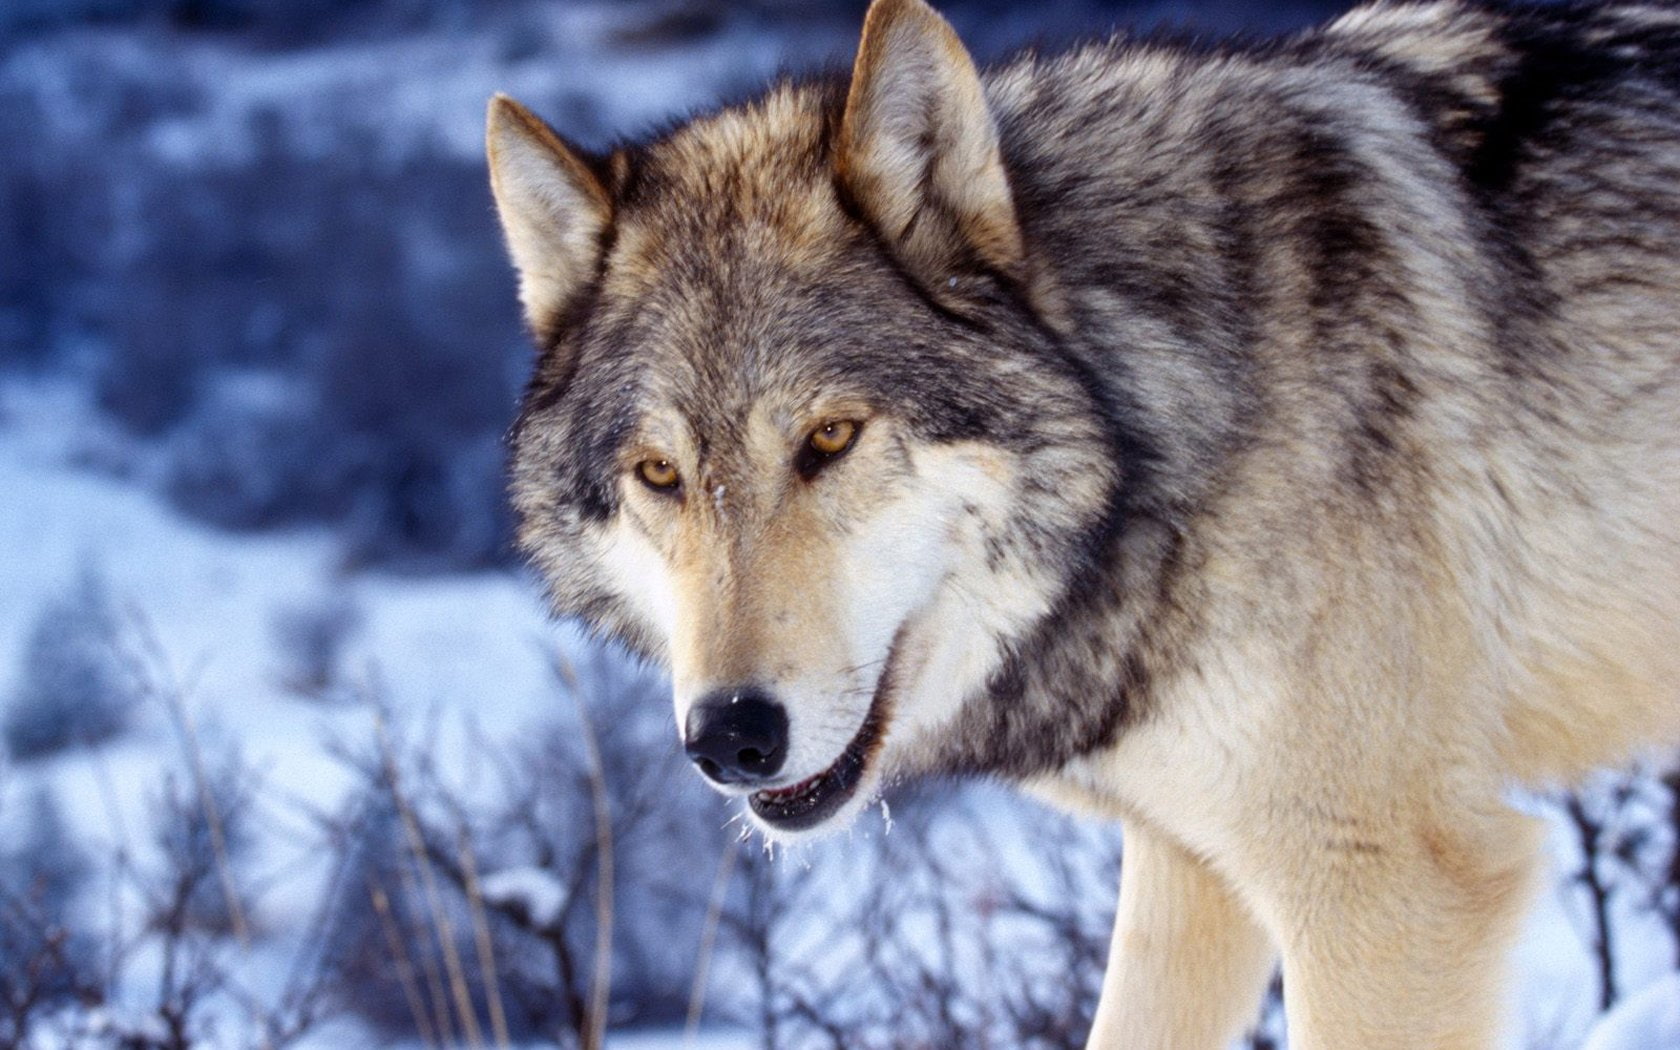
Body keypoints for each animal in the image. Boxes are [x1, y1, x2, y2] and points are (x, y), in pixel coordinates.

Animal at [486, 0, 1680, 1045]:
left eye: (829, 437)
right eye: (660, 473)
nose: (731, 736)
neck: (1165, 422)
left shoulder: (1388, 889)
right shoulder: (1192, 870)